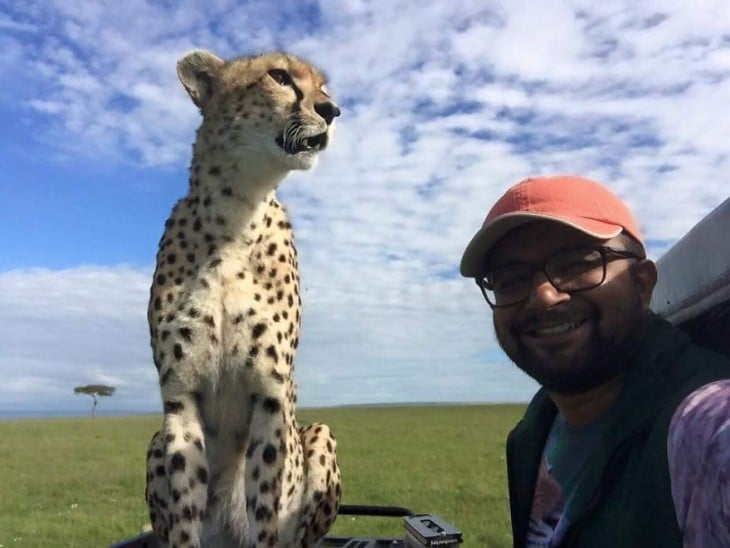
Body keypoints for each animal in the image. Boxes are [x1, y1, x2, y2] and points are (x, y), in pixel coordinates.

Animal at [145, 49, 344, 544]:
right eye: (279, 77)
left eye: (324, 87)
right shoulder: (180, 399)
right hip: (155, 440)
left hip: (319, 435)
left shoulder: (269, 393)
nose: (332, 110)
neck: (235, 214)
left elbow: (264, 508)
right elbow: (184, 513)